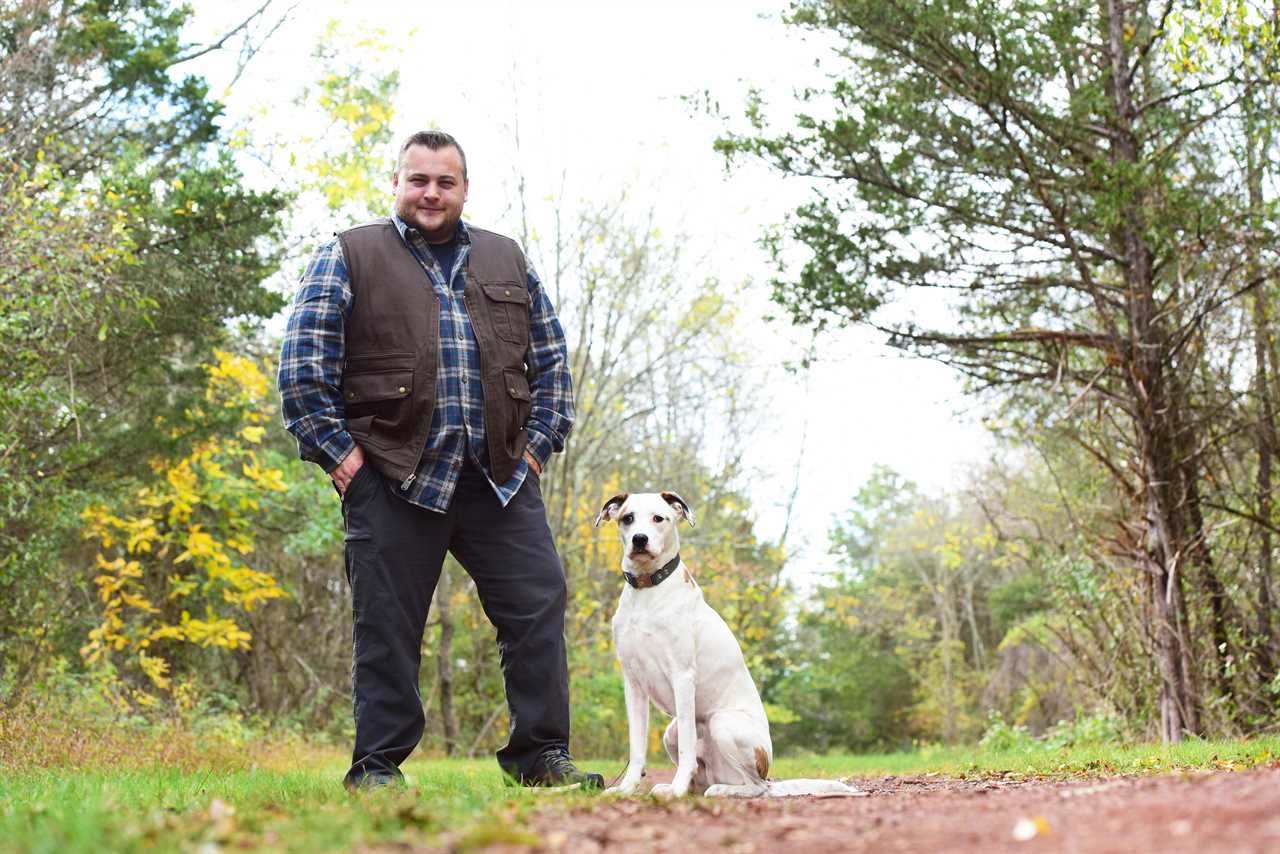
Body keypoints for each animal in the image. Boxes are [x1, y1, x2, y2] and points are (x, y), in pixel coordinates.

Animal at [593, 491, 865, 798]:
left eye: (658, 518)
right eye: (628, 518)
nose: (640, 539)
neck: (647, 591)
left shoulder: (682, 676)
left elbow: (687, 748)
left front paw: (676, 788)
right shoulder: (634, 684)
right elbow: (637, 748)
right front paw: (627, 789)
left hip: (722, 723)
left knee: (757, 787)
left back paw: (717, 790)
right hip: (670, 732)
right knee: (704, 775)